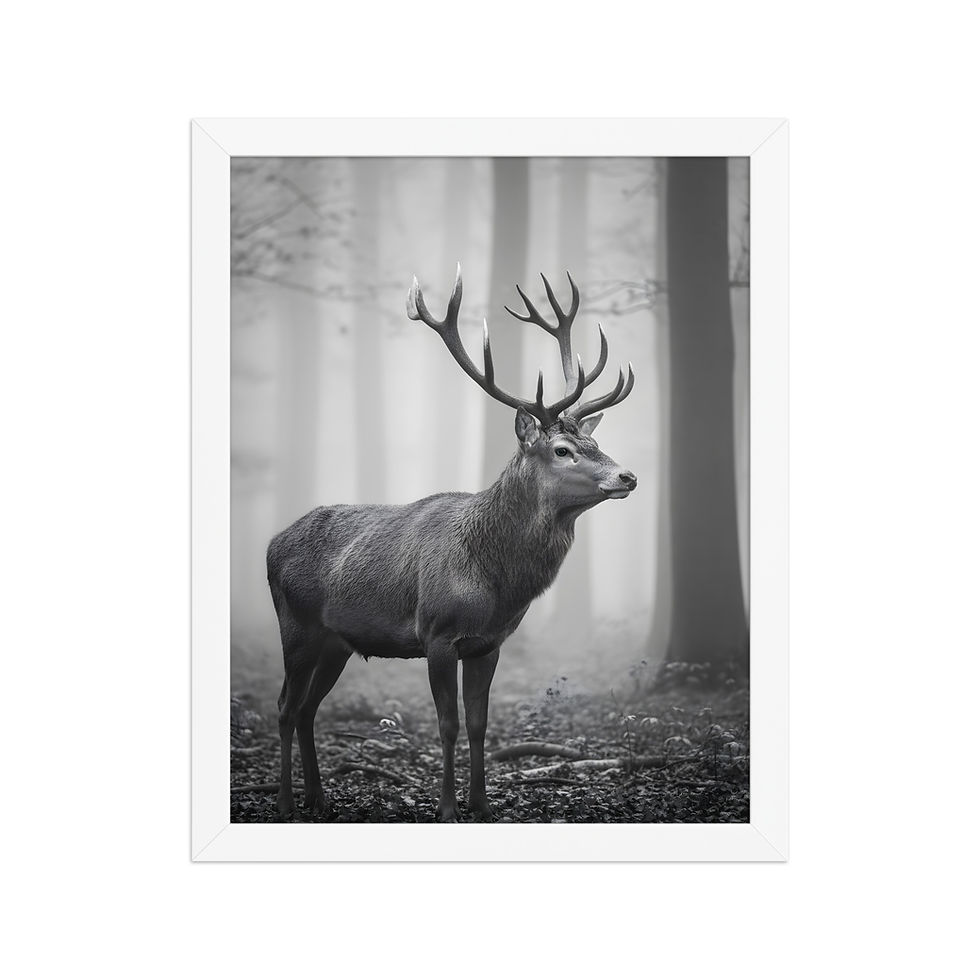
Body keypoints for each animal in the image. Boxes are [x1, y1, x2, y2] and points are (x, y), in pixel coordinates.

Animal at [266, 265, 636, 821]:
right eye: (562, 449)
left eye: (594, 442)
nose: (628, 476)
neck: (495, 584)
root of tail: (270, 544)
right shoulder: (437, 633)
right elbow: (448, 724)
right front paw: (446, 808)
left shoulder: (489, 643)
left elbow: (480, 724)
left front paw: (481, 804)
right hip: (297, 625)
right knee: (286, 707)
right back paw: (289, 801)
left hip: (336, 641)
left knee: (309, 708)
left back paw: (318, 797)